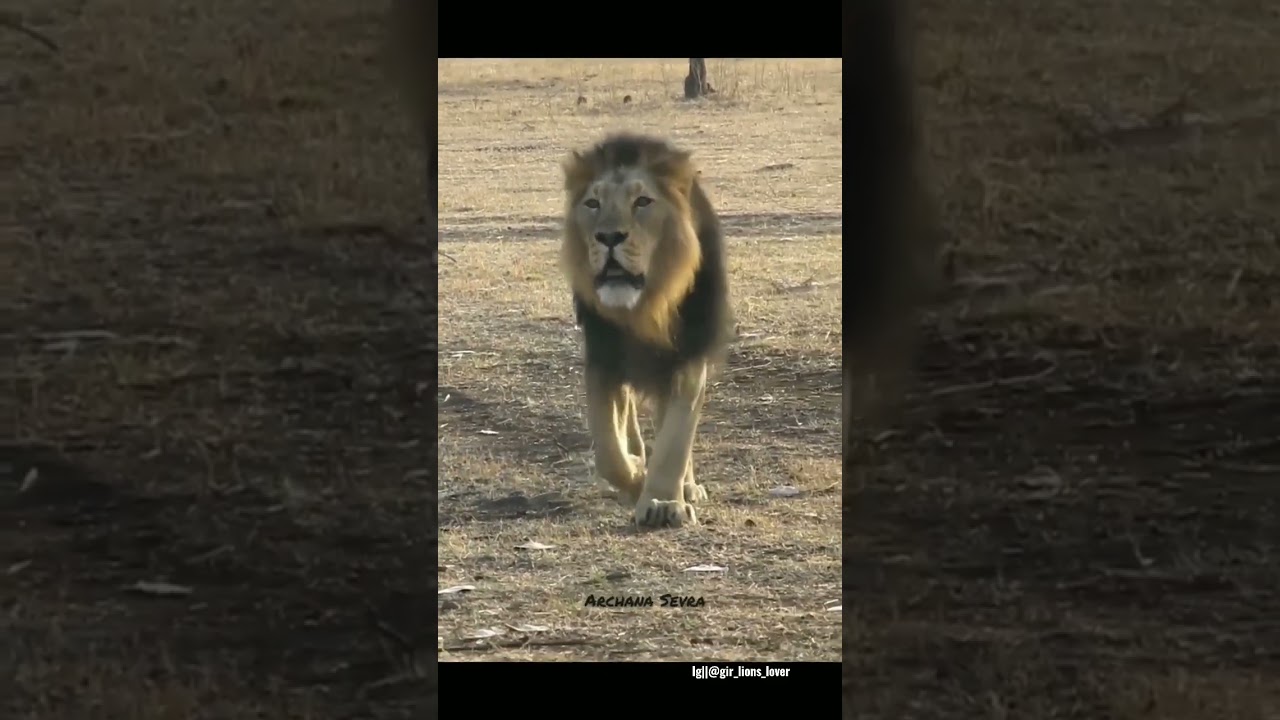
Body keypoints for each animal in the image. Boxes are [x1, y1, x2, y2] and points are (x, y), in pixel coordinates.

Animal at [560, 133, 733, 529]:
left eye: (642, 202)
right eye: (593, 203)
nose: (609, 236)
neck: (645, 308)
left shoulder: (687, 357)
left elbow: (676, 438)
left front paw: (663, 502)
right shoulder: (603, 357)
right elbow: (608, 448)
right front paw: (637, 476)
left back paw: (687, 487)